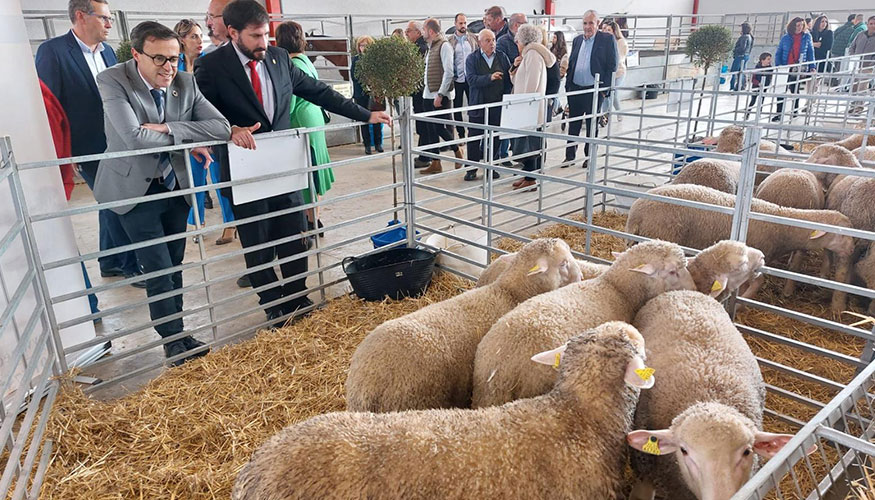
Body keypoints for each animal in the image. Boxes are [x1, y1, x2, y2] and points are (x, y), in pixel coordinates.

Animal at [628, 184, 860, 312]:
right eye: (842, 234)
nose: (851, 251)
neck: (780, 225)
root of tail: (636, 213)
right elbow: (757, 282)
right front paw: (740, 305)